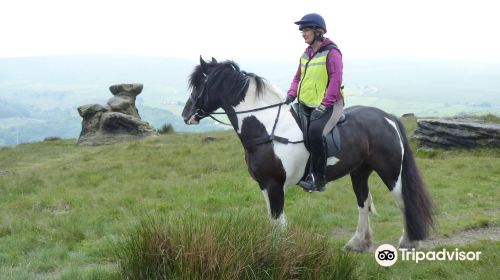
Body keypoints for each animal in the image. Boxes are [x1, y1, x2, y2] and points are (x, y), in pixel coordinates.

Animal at [182, 57, 432, 252]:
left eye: (199, 84)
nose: (186, 115)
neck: (266, 128)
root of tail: (387, 117)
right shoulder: (265, 185)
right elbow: (273, 220)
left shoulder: (275, 185)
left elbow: (278, 222)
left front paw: (277, 255)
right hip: (359, 172)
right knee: (363, 203)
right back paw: (358, 243)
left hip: (391, 172)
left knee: (402, 201)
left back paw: (409, 241)